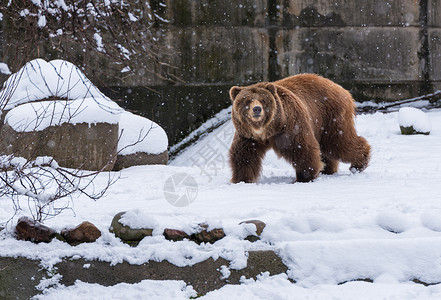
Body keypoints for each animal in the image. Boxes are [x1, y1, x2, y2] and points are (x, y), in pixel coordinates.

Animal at [229, 74, 370, 184]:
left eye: (263, 100)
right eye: (247, 100)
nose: (257, 109)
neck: (267, 130)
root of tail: (341, 88)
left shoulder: (291, 126)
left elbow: (302, 148)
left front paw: (304, 177)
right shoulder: (248, 135)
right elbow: (244, 155)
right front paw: (241, 179)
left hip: (331, 117)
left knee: (339, 142)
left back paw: (358, 164)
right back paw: (328, 169)